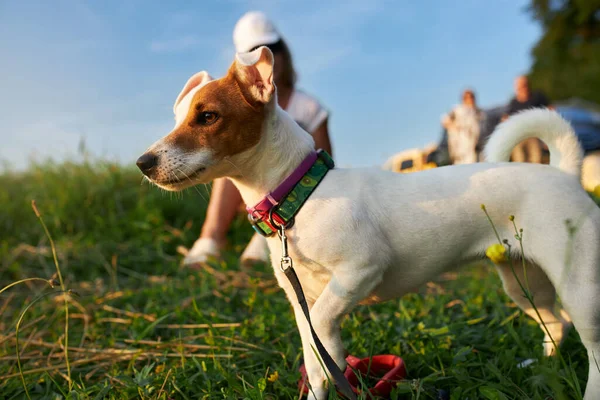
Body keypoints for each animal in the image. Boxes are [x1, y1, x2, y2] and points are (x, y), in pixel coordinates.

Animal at [138, 47, 600, 400]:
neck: (301, 197)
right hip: (523, 280)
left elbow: (325, 332)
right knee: (556, 323)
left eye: (208, 116)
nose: (143, 163)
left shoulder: (360, 271)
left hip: (577, 286)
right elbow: (318, 362)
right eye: (178, 116)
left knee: (591, 344)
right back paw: (542, 367)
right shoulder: (302, 303)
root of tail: (564, 171)